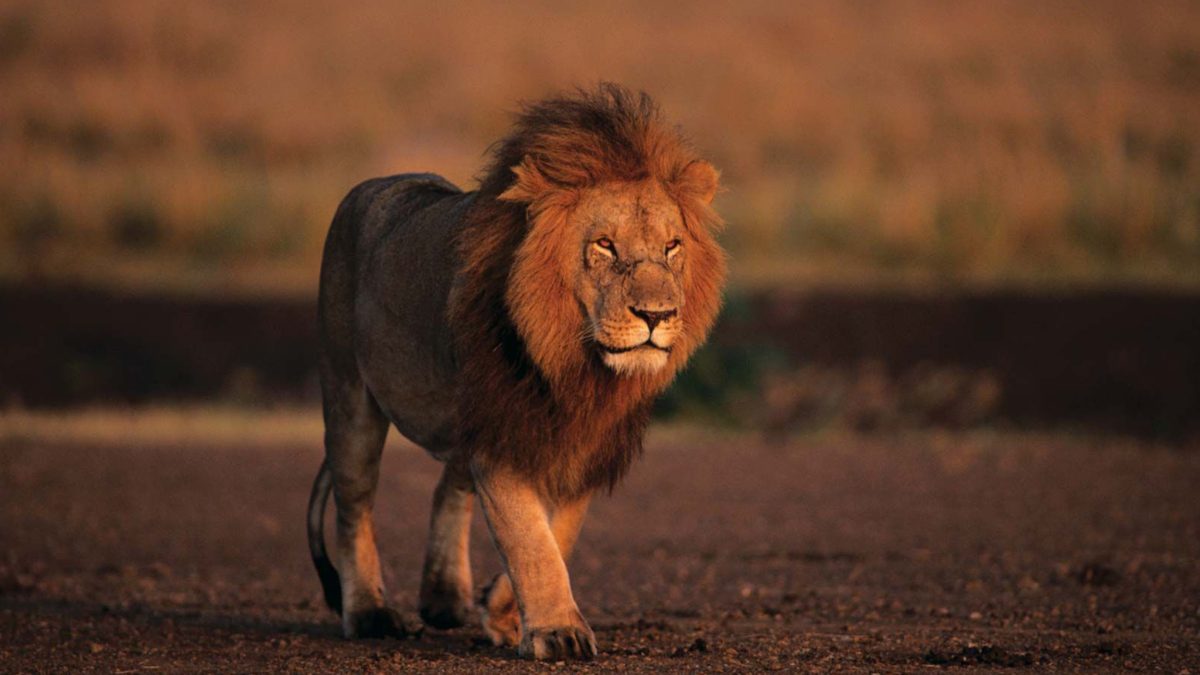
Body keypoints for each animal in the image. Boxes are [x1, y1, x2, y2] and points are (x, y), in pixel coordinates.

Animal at [306, 83, 726, 660]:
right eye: (605, 245)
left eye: (672, 247)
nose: (657, 316)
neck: (575, 364)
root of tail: (372, 185)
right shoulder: (501, 430)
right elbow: (530, 537)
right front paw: (558, 631)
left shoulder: (582, 442)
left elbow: (557, 534)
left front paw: (503, 612)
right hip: (349, 394)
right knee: (355, 507)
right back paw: (370, 613)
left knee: (448, 487)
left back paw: (445, 599)